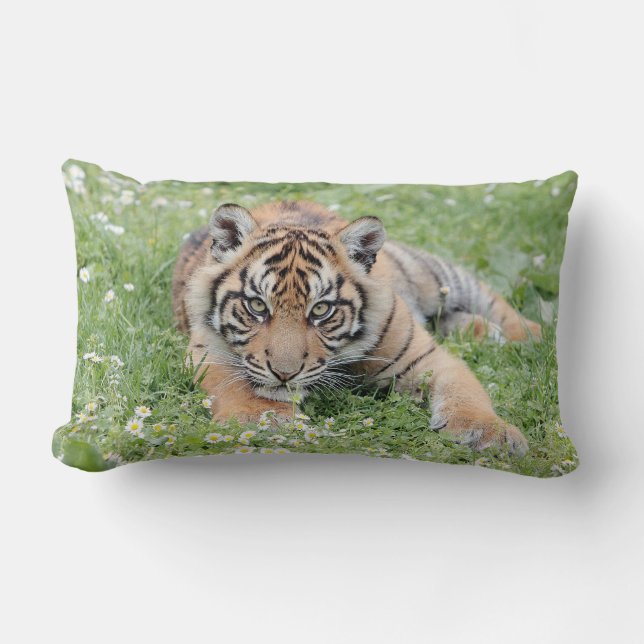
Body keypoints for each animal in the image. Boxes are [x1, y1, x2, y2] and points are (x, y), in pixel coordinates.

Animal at [172, 200, 541, 454]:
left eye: (321, 310)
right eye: (258, 306)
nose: (284, 374)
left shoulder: (427, 357)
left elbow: (464, 391)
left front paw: (489, 433)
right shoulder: (207, 347)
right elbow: (235, 385)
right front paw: (260, 420)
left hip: (436, 276)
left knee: (493, 299)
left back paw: (532, 336)